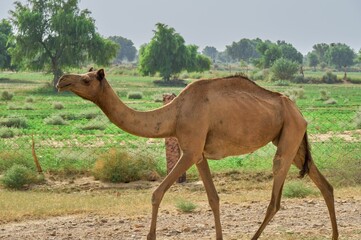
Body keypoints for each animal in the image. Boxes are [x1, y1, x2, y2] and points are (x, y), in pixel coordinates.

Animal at [56, 68, 338, 239]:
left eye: (87, 79)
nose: (61, 80)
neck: (174, 114)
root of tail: (299, 112)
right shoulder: (199, 154)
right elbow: (213, 198)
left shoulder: (190, 151)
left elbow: (156, 193)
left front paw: (150, 236)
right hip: (292, 141)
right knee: (325, 185)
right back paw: (334, 234)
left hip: (288, 137)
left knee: (276, 198)